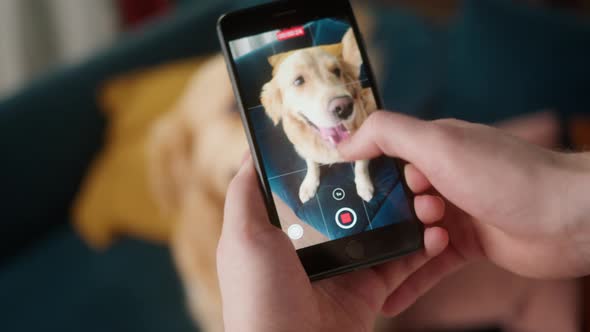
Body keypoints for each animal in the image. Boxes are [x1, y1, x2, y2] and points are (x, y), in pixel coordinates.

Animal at [262, 28, 376, 204]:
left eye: (337, 71)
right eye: (298, 81)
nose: (344, 107)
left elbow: (360, 167)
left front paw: (364, 186)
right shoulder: (305, 148)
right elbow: (312, 165)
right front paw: (309, 184)